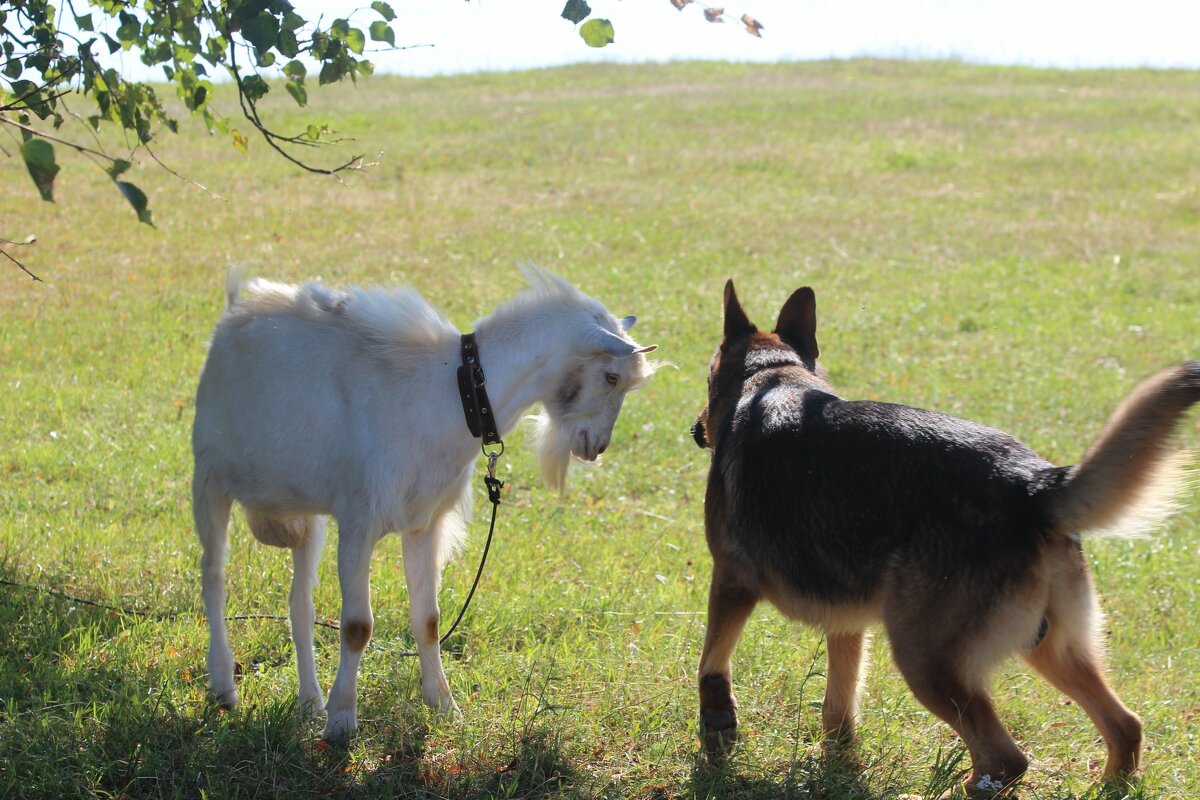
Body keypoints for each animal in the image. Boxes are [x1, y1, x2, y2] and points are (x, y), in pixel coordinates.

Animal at [192, 267, 657, 738]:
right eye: (612, 377)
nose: (596, 447)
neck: (456, 392)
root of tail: (237, 309)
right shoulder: (358, 522)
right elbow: (357, 627)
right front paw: (342, 721)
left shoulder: (423, 523)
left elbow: (429, 621)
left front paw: (444, 706)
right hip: (208, 480)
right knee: (213, 578)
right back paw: (225, 688)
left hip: (309, 517)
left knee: (299, 603)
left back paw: (310, 703)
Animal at [696, 281, 1200, 796]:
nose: (696, 431)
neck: (773, 377)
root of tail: (1034, 483)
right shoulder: (846, 620)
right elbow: (839, 706)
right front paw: (837, 765)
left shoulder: (731, 581)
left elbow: (712, 661)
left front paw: (718, 725)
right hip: (1051, 649)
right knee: (1125, 725)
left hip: (926, 660)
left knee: (1006, 759)